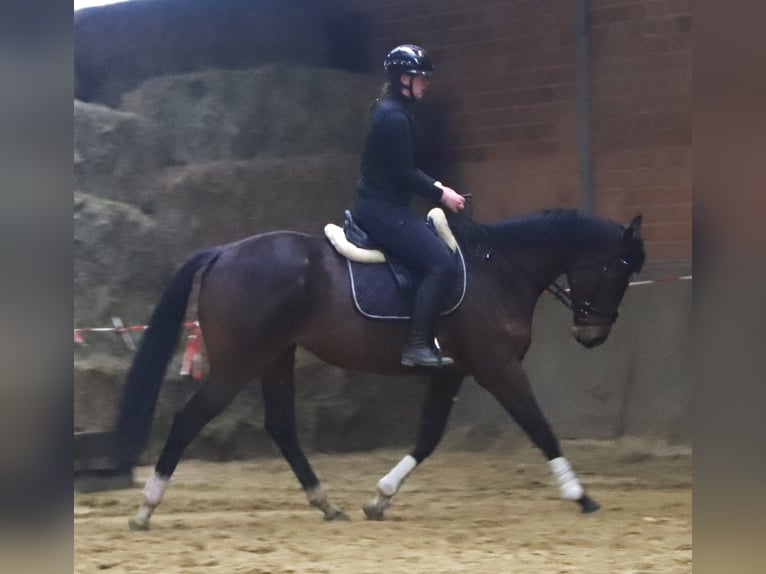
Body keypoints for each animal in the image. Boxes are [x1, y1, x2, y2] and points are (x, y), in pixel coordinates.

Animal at [110, 207, 645, 530]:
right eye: (619, 270)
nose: (592, 336)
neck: (499, 272)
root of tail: (224, 251)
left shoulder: (451, 373)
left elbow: (427, 439)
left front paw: (381, 498)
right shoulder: (499, 368)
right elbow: (540, 427)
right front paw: (579, 494)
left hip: (276, 356)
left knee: (281, 425)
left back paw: (326, 504)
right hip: (239, 361)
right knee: (189, 419)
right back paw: (146, 508)